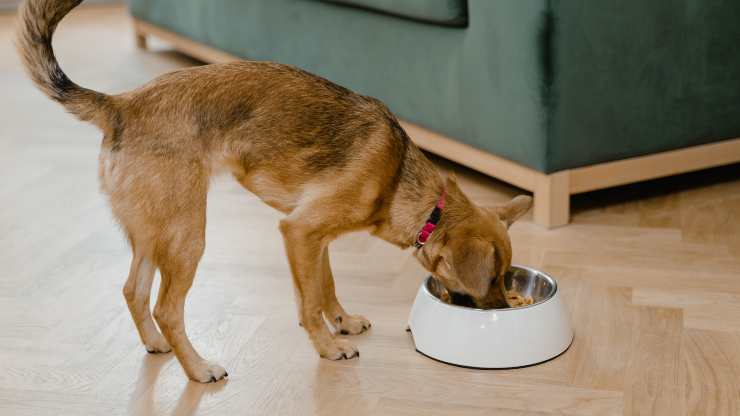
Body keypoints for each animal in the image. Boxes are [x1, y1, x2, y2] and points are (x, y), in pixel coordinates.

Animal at [17, 0, 532, 384]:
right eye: (492, 278)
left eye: (506, 278)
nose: (502, 311)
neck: (406, 186)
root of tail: (120, 105)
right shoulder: (299, 231)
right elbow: (308, 303)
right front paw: (329, 347)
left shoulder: (315, 240)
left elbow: (325, 287)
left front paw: (342, 322)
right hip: (188, 235)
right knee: (167, 307)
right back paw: (198, 368)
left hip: (152, 232)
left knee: (132, 290)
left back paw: (157, 345)